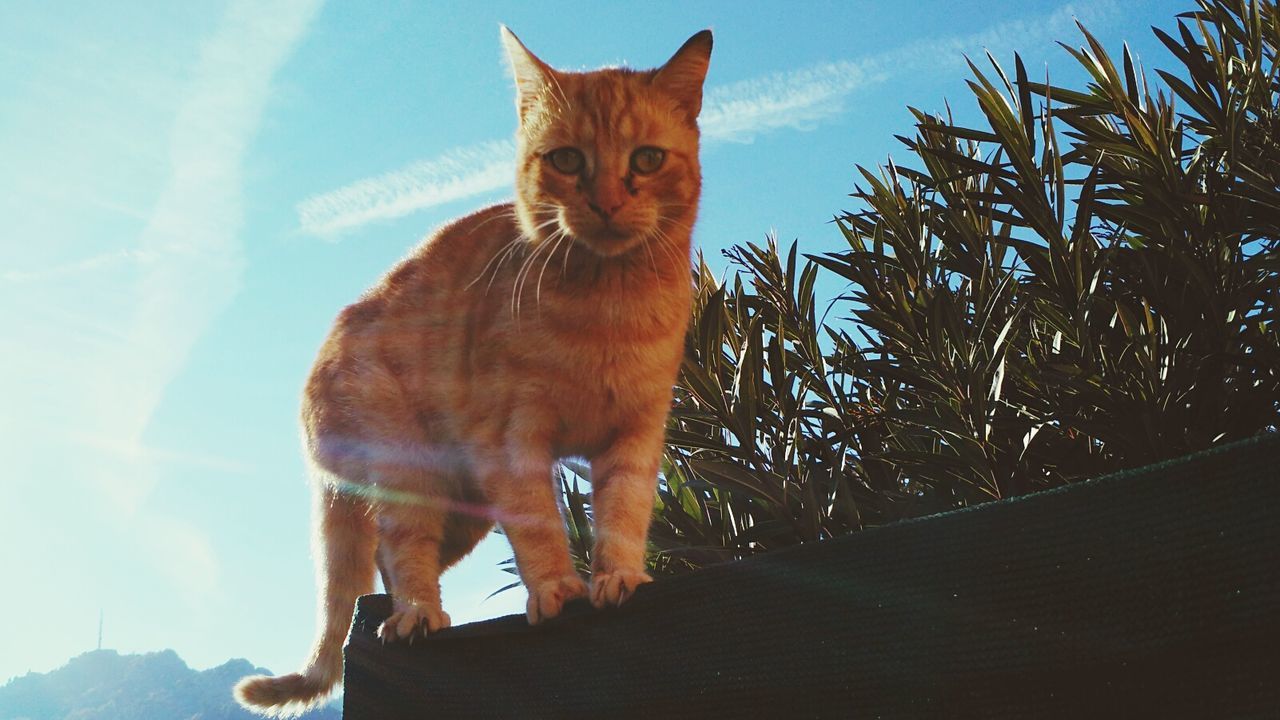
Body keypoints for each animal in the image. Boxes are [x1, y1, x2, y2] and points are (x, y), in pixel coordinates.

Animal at [236, 26, 716, 712]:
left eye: (647, 160)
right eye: (567, 161)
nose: (604, 202)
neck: (608, 310)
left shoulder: (637, 434)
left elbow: (623, 515)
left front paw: (619, 577)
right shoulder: (512, 443)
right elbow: (540, 524)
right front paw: (556, 589)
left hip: (463, 511)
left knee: (383, 568)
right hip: (405, 465)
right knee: (398, 547)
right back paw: (416, 617)